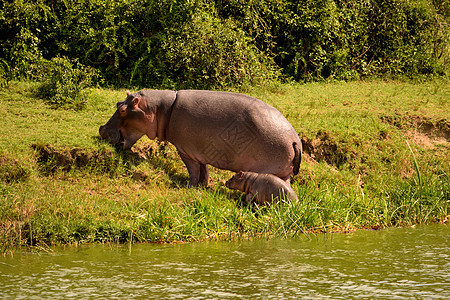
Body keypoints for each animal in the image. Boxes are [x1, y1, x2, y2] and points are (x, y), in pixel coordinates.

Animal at [98, 90, 302, 186]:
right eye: (118, 103)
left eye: (123, 110)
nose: (101, 129)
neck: (160, 109)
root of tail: (295, 139)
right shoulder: (199, 150)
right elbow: (204, 169)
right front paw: (203, 185)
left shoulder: (186, 150)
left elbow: (193, 170)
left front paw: (190, 186)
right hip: (284, 173)